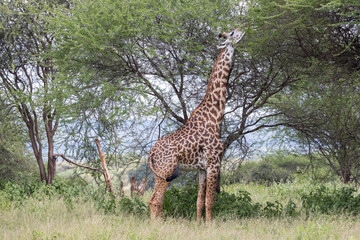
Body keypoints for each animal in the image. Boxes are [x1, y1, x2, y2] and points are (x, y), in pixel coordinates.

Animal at [148, 26, 246, 223]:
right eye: (232, 33)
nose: (242, 29)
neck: (214, 116)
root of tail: (151, 152)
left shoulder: (201, 168)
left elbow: (199, 201)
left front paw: (199, 224)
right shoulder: (214, 163)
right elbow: (210, 201)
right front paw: (209, 226)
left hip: (158, 173)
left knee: (154, 201)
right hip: (165, 171)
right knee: (155, 201)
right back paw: (156, 226)